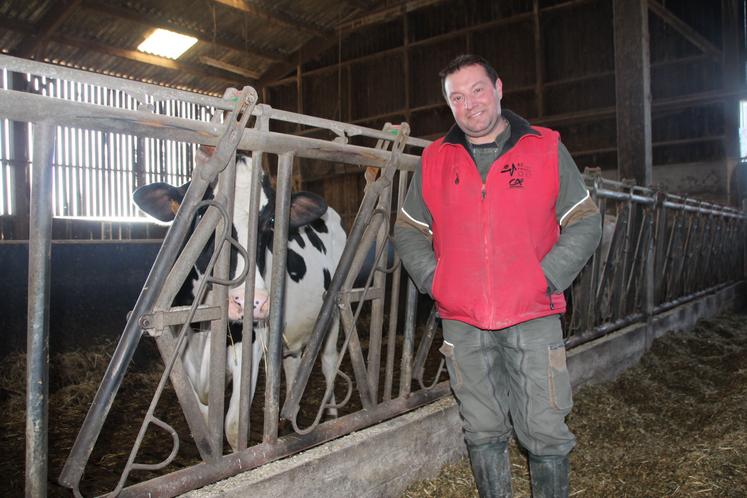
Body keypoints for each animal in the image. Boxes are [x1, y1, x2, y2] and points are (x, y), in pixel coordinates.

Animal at [133, 154, 346, 450]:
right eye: (203, 216)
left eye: (271, 221)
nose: (251, 301)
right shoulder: (180, 352)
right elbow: (205, 424)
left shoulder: (250, 348)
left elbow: (233, 427)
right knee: (292, 362)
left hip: (335, 307)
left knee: (328, 360)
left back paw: (331, 415)